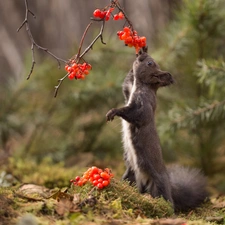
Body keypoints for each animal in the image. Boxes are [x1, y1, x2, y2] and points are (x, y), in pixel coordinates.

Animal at [106, 46, 208, 212]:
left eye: (150, 63)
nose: (141, 55)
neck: (143, 86)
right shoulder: (129, 91)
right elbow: (125, 86)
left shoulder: (145, 104)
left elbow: (138, 115)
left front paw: (114, 111)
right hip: (131, 176)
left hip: (158, 186)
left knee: (167, 201)